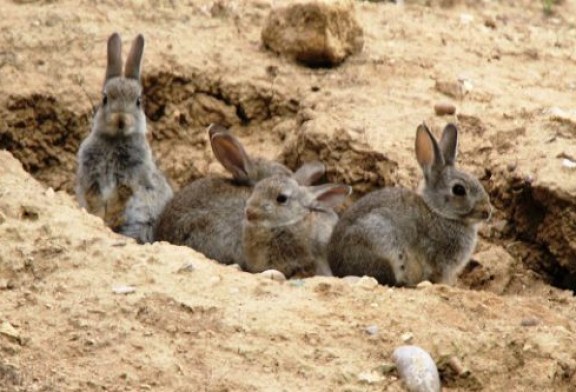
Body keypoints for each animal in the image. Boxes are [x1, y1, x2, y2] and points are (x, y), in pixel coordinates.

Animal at [75, 33, 172, 243]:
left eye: (138, 101)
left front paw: (109, 220)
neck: (115, 140)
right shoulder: (92, 180)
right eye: (105, 99)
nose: (121, 119)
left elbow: (119, 201)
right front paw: (100, 220)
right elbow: (95, 201)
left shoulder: (129, 181)